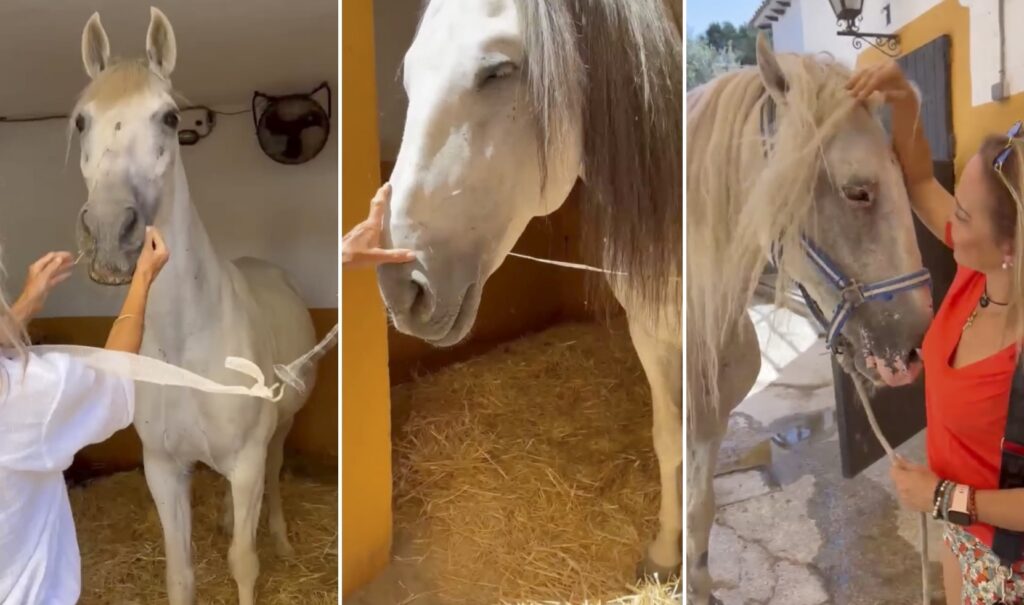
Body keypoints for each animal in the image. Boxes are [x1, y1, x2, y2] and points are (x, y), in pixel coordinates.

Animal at [72, 9, 318, 604]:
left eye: (168, 117)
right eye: (82, 122)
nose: (110, 233)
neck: (186, 341)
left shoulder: (247, 460)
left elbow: (243, 562)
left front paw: (261, 548)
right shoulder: (164, 468)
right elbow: (180, 573)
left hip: (278, 433)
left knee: (274, 478)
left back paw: (281, 539)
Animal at [375, 0, 684, 586]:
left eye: (498, 71)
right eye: (409, 77)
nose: (401, 285)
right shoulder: (652, 331)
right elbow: (671, 438)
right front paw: (666, 554)